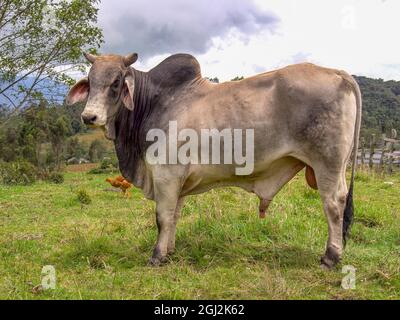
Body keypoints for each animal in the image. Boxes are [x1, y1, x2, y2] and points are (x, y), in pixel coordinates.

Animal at [67, 52, 360, 268]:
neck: (153, 102)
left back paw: (331, 257)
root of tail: (340, 73)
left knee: (334, 205)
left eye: (116, 82)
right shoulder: (177, 182)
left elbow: (162, 217)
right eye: (90, 81)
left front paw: (157, 256)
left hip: (328, 164)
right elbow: (174, 217)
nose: (89, 117)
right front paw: (170, 251)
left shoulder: (165, 175)